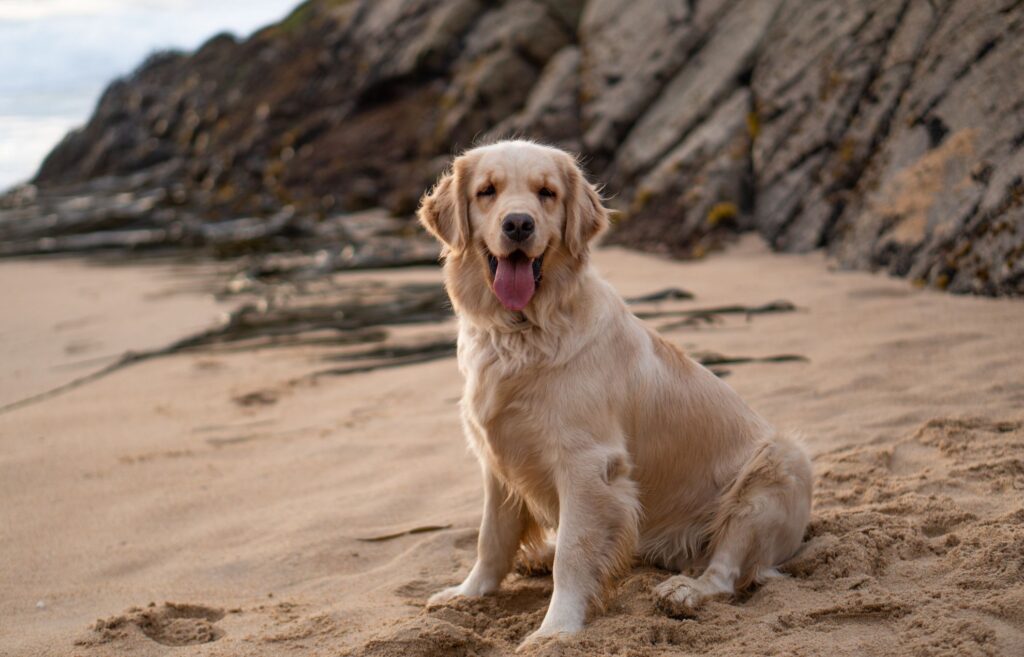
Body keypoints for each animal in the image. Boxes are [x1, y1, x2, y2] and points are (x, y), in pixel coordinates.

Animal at [417, 138, 815, 646]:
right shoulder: (497, 456)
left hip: (776, 472)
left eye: (547, 193)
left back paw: (684, 591)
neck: (524, 331)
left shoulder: (588, 464)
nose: (519, 224)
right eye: (487, 191)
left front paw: (556, 629)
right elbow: (491, 538)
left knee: (725, 572)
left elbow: (574, 553)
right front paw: (468, 593)